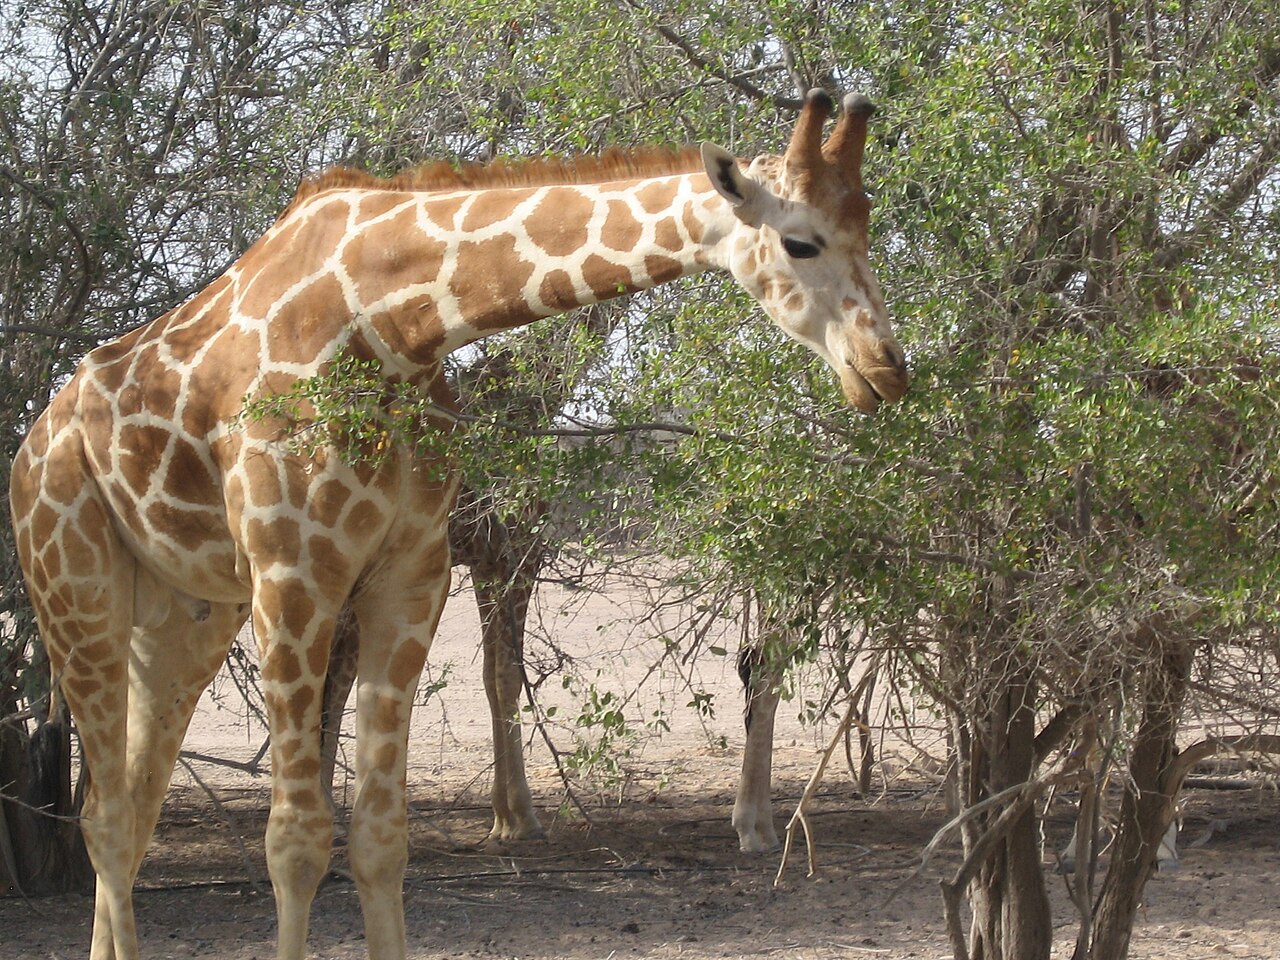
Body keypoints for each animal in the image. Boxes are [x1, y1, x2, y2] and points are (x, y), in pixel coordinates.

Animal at [9, 89, 906, 960]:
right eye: (801, 242)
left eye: (868, 224)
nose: (887, 370)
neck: (395, 324)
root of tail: (30, 445)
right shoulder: (293, 573)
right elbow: (295, 841)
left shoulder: (413, 572)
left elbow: (381, 836)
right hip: (74, 593)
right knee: (104, 815)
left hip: (183, 615)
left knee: (132, 808)